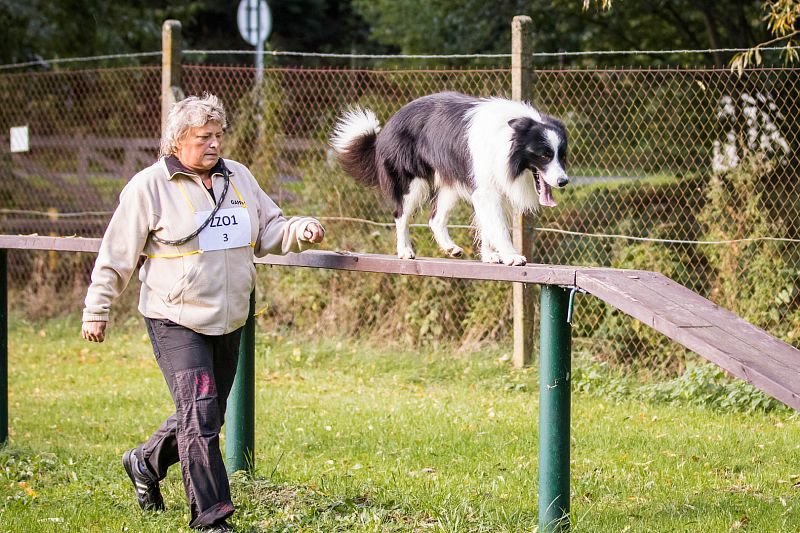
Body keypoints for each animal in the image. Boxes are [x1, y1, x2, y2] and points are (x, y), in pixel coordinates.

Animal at [332, 92, 568, 266]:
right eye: (545, 155)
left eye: (562, 155)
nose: (563, 181)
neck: (510, 139)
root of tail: (386, 128)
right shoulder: (486, 187)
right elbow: (498, 225)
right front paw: (511, 256)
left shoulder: (494, 186)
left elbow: (487, 222)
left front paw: (490, 255)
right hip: (411, 180)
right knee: (401, 214)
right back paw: (405, 251)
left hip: (450, 184)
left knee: (435, 218)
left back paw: (451, 248)